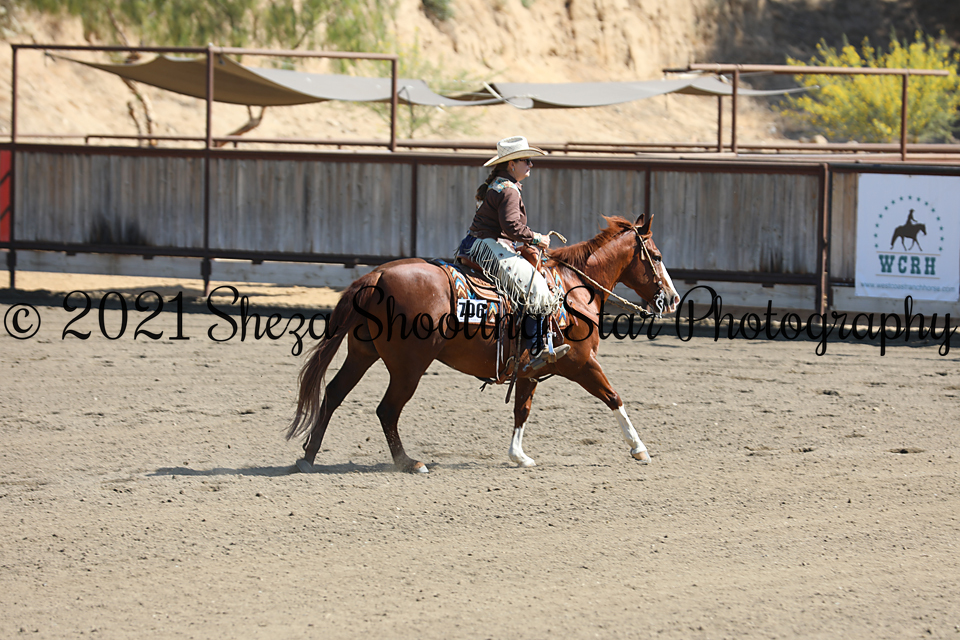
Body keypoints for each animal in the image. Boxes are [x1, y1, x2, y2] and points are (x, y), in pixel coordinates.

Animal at [287, 214, 681, 473]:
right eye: (658, 256)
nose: (674, 299)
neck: (570, 289)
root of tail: (377, 275)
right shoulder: (581, 362)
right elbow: (614, 397)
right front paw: (639, 448)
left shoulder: (531, 368)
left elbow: (522, 409)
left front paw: (518, 455)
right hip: (408, 366)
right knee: (386, 409)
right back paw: (409, 462)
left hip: (362, 353)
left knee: (333, 394)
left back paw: (308, 457)